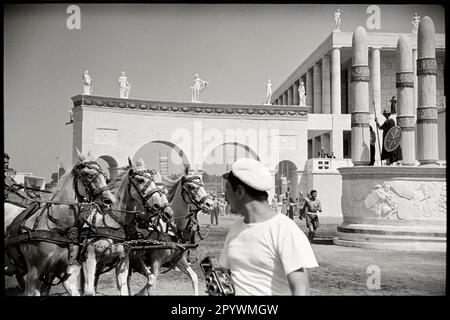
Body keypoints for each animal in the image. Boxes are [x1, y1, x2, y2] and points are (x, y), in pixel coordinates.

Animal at [4, 151, 116, 296]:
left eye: (105, 178)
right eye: (89, 175)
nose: (110, 201)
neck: (59, 227)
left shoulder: (68, 272)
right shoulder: (33, 273)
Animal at [80, 159, 171, 296]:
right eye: (140, 180)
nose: (158, 206)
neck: (111, 225)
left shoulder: (124, 259)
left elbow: (128, 288)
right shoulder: (90, 257)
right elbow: (89, 291)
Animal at [128, 166, 214, 296]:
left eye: (202, 184)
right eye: (191, 186)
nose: (210, 204)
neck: (171, 229)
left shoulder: (178, 259)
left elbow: (194, 277)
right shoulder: (156, 261)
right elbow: (151, 284)